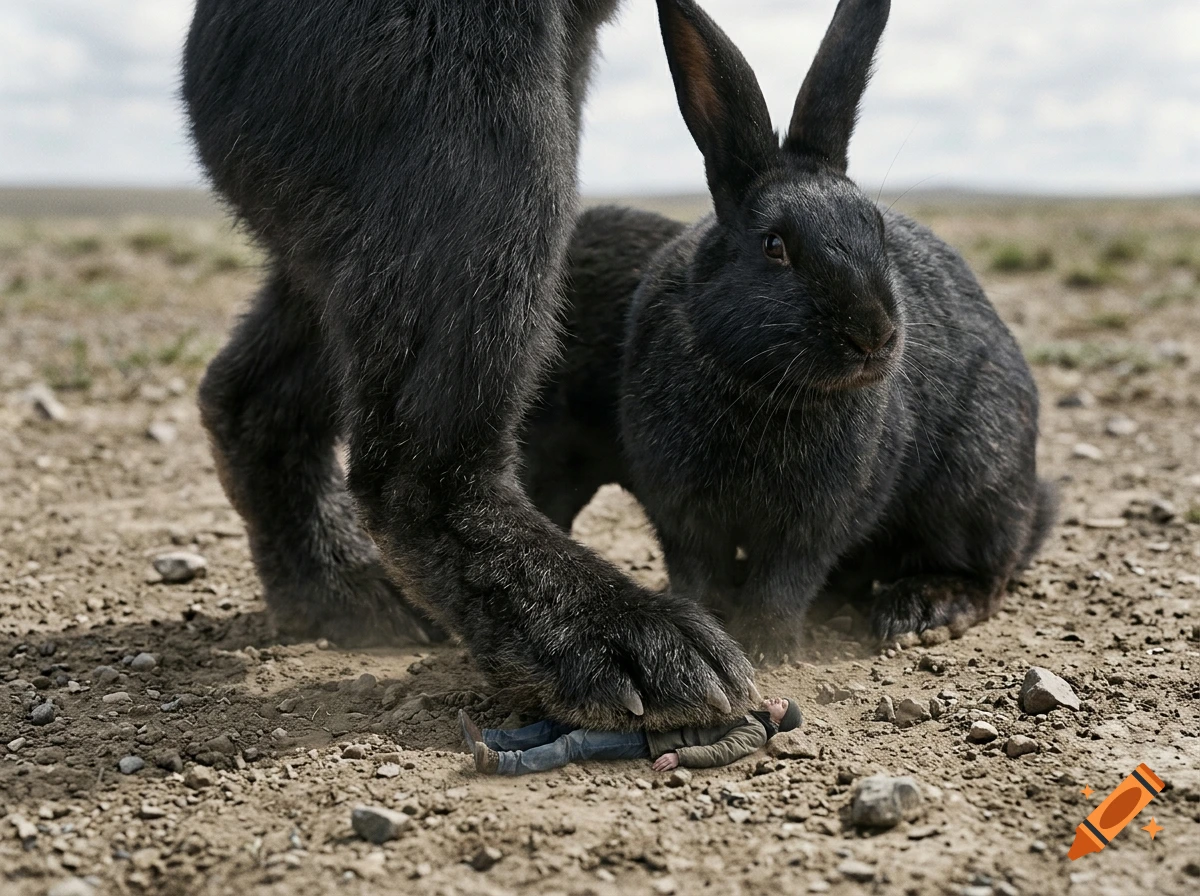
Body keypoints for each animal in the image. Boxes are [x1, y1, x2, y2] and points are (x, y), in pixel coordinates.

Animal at [617, 0, 1056, 662]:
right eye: (774, 245)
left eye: (876, 229)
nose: (874, 336)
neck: (762, 385)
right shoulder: (681, 513)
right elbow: (698, 572)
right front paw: (708, 625)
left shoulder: (817, 522)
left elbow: (785, 581)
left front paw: (766, 648)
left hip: (975, 480)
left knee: (988, 572)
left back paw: (918, 610)